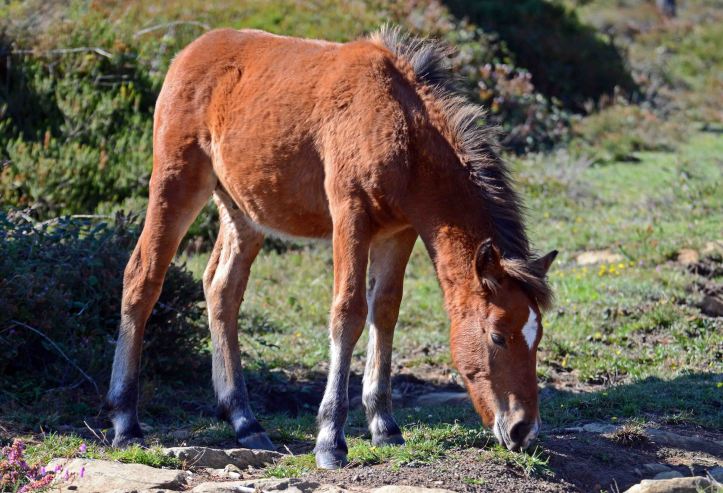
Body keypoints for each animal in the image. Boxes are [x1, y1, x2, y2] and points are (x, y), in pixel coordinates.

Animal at [106, 26, 557, 469]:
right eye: (497, 336)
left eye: (536, 337)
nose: (522, 429)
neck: (402, 128)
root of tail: (186, 55)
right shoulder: (350, 216)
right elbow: (348, 313)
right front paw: (331, 440)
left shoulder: (400, 232)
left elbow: (385, 311)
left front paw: (385, 426)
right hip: (177, 182)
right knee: (142, 277)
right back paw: (126, 421)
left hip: (242, 212)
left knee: (222, 290)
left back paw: (244, 420)